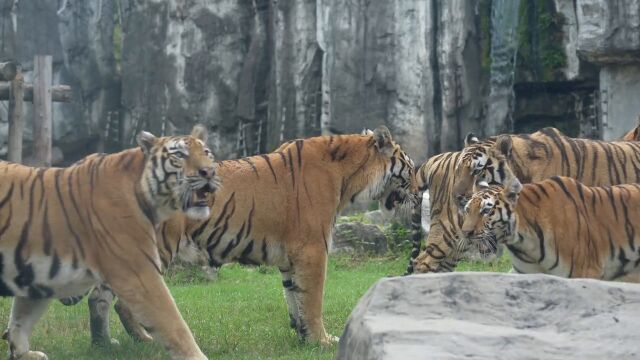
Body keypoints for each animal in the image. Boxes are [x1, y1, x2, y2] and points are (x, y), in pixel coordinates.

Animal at [0, 126, 218, 360]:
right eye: (179, 155)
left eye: (207, 153)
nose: (209, 172)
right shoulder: (139, 274)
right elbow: (174, 324)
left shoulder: (37, 274)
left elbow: (22, 317)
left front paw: (22, 353)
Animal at [62, 124, 418, 346]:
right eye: (411, 169)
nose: (420, 191)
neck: (351, 178)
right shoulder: (313, 249)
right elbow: (313, 299)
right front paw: (321, 340)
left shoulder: (291, 257)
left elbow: (295, 297)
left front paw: (302, 336)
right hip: (152, 249)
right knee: (122, 301)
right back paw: (143, 341)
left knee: (98, 297)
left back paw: (104, 344)